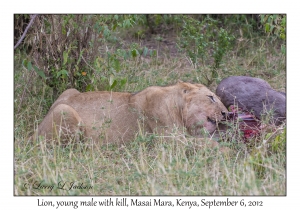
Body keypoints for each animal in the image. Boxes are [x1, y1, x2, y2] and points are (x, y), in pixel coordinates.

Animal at [33, 80, 227, 149]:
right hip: (64, 110)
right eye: (211, 97)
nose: (226, 113)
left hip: (69, 91)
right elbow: (207, 143)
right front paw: (226, 150)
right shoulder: (170, 141)